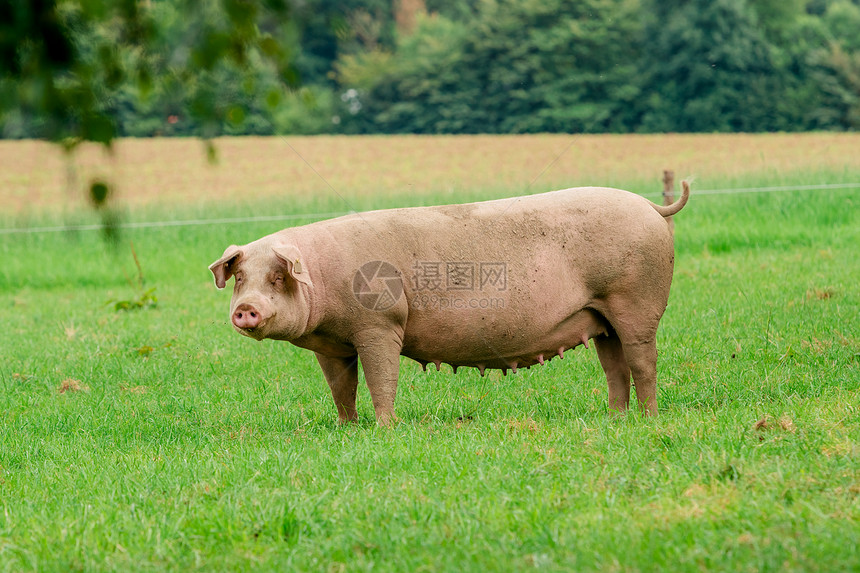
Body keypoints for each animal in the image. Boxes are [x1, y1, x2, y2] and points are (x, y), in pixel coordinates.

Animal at [210, 183, 692, 424]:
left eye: (278, 277)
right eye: (241, 278)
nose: (246, 308)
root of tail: (654, 207)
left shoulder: (380, 324)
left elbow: (381, 378)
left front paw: (385, 428)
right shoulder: (333, 345)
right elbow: (340, 387)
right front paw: (348, 427)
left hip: (635, 299)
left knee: (642, 359)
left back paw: (648, 419)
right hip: (599, 315)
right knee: (614, 366)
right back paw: (615, 419)